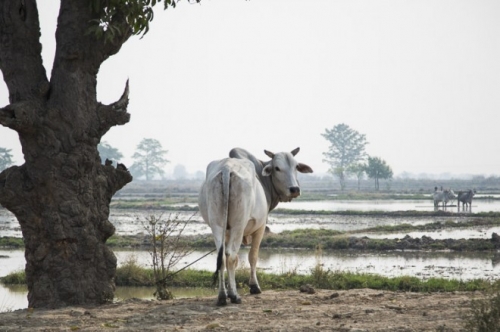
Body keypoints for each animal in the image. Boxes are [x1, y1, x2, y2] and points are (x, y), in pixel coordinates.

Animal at [196, 148, 310, 306]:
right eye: (277, 168)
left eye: (296, 167)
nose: (294, 189)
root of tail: (226, 168)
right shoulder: (260, 228)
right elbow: (253, 257)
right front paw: (254, 286)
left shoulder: (227, 231)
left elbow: (233, 260)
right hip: (238, 225)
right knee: (230, 256)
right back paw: (234, 296)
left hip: (217, 225)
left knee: (223, 258)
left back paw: (222, 296)